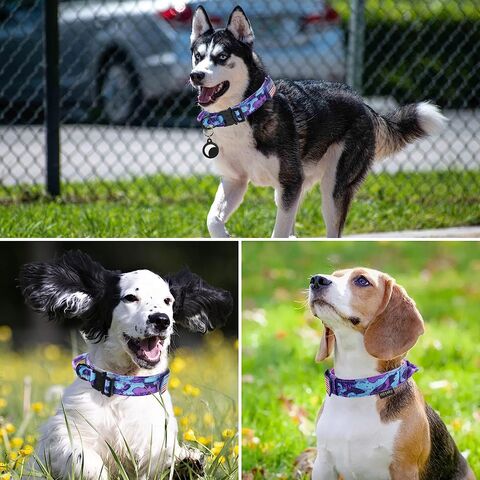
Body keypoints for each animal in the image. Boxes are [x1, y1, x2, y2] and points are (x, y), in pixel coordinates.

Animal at [189, 3, 448, 236]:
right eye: (198, 56)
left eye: (222, 57)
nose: (196, 75)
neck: (243, 113)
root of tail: (362, 103)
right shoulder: (236, 181)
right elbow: (212, 219)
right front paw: (225, 236)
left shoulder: (290, 183)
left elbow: (278, 233)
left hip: (332, 189)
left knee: (332, 231)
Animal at [306, 268, 474, 478]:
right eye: (334, 274)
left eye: (362, 280)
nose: (316, 280)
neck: (359, 385)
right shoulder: (324, 464)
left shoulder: (404, 468)